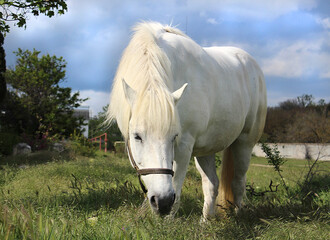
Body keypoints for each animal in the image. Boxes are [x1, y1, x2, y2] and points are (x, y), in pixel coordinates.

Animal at [107, 21, 266, 218]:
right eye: (137, 136)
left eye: (174, 136)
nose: (162, 202)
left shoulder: (184, 147)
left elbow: (176, 190)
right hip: (206, 149)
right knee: (212, 184)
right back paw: (206, 221)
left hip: (244, 144)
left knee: (238, 183)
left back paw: (238, 215)